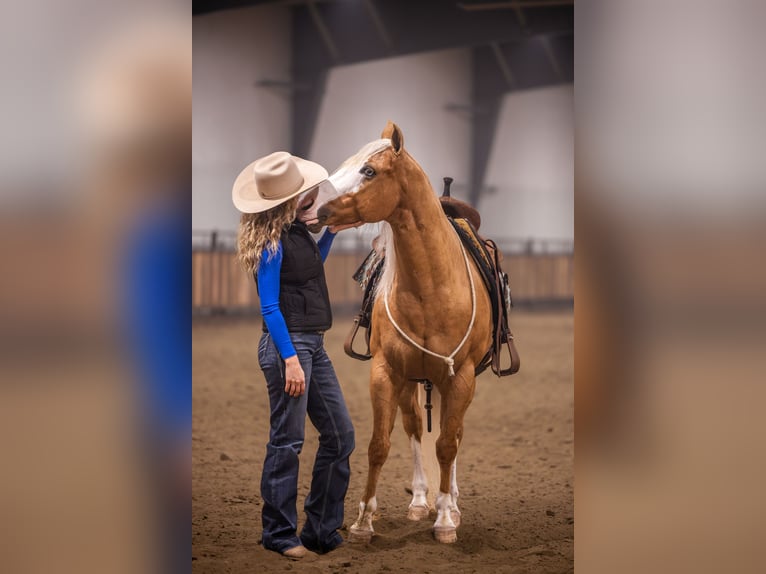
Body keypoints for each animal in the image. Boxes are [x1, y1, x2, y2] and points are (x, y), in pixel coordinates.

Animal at [316, 121, 493, 544]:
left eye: (369, 171)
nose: (313, 206)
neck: (432, 287)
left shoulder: (460, 377)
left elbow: (446, 444)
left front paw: (445, 520)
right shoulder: (386, 372)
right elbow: (379, 444)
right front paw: (364, 521)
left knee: (453, 434)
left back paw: (451, 503)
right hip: (413, 380)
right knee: (414, 425)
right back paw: (420, 500)